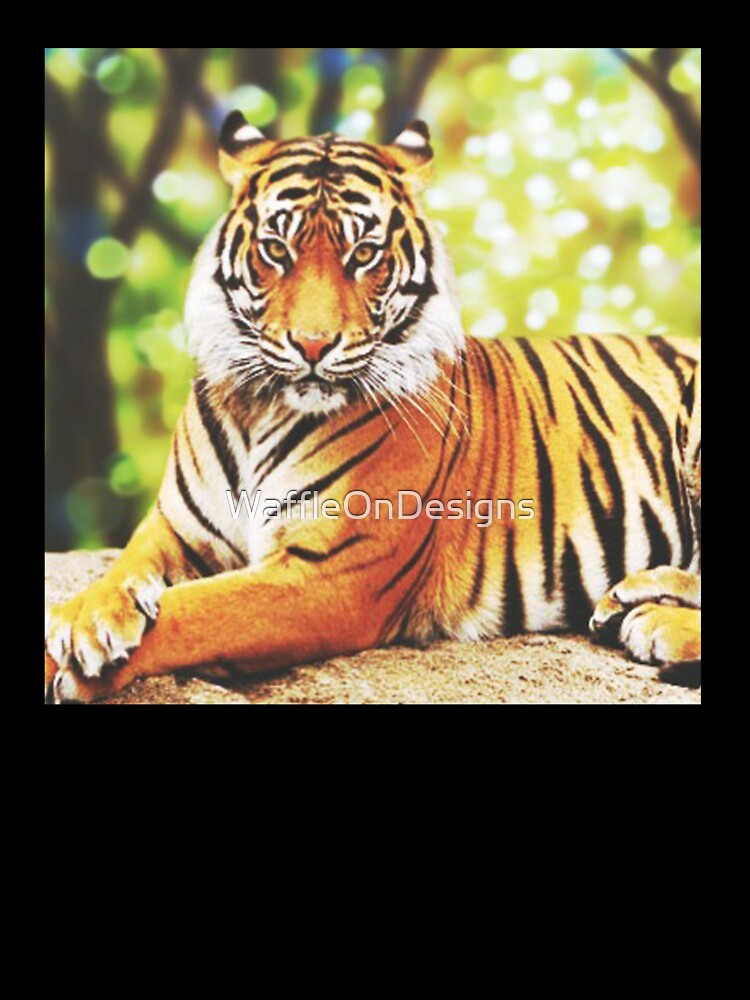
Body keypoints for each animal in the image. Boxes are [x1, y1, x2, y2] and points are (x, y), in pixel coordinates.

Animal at [44, 114, 701, 703]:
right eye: (276, 249)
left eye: (363, 254)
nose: (312, 346)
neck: (259, 410)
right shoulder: (176, 529)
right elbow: (120, 571)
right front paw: (87, 618)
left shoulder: (326, 576)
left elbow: (192, 610)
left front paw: (73, 658)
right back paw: (632, 598)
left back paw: (652, 622)